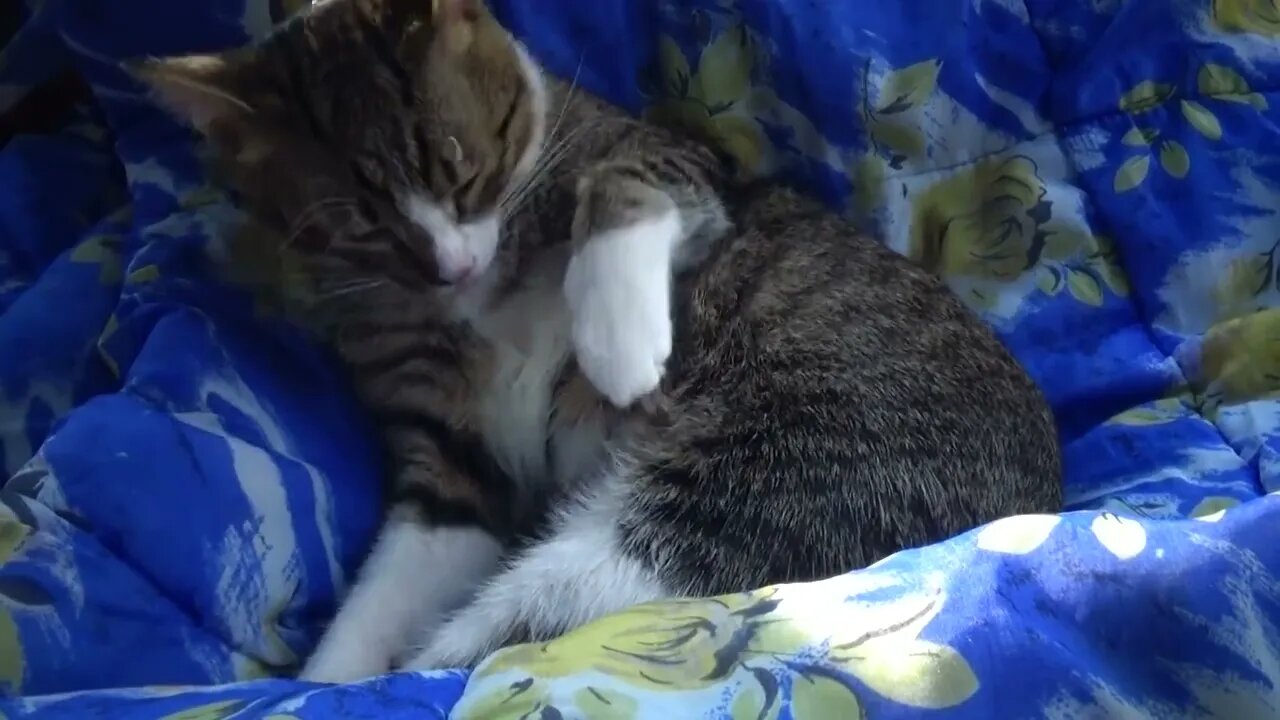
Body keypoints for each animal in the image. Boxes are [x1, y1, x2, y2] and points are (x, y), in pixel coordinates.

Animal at [135, 0, 1064, 676]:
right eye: (360, 229)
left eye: (463, 170)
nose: (450, 268)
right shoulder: (453, 461)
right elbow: (388, 587)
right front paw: (323, 685)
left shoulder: (674, 165)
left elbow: (623, 184)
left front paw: (612, 336)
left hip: (756, 487)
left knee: (526, 615)